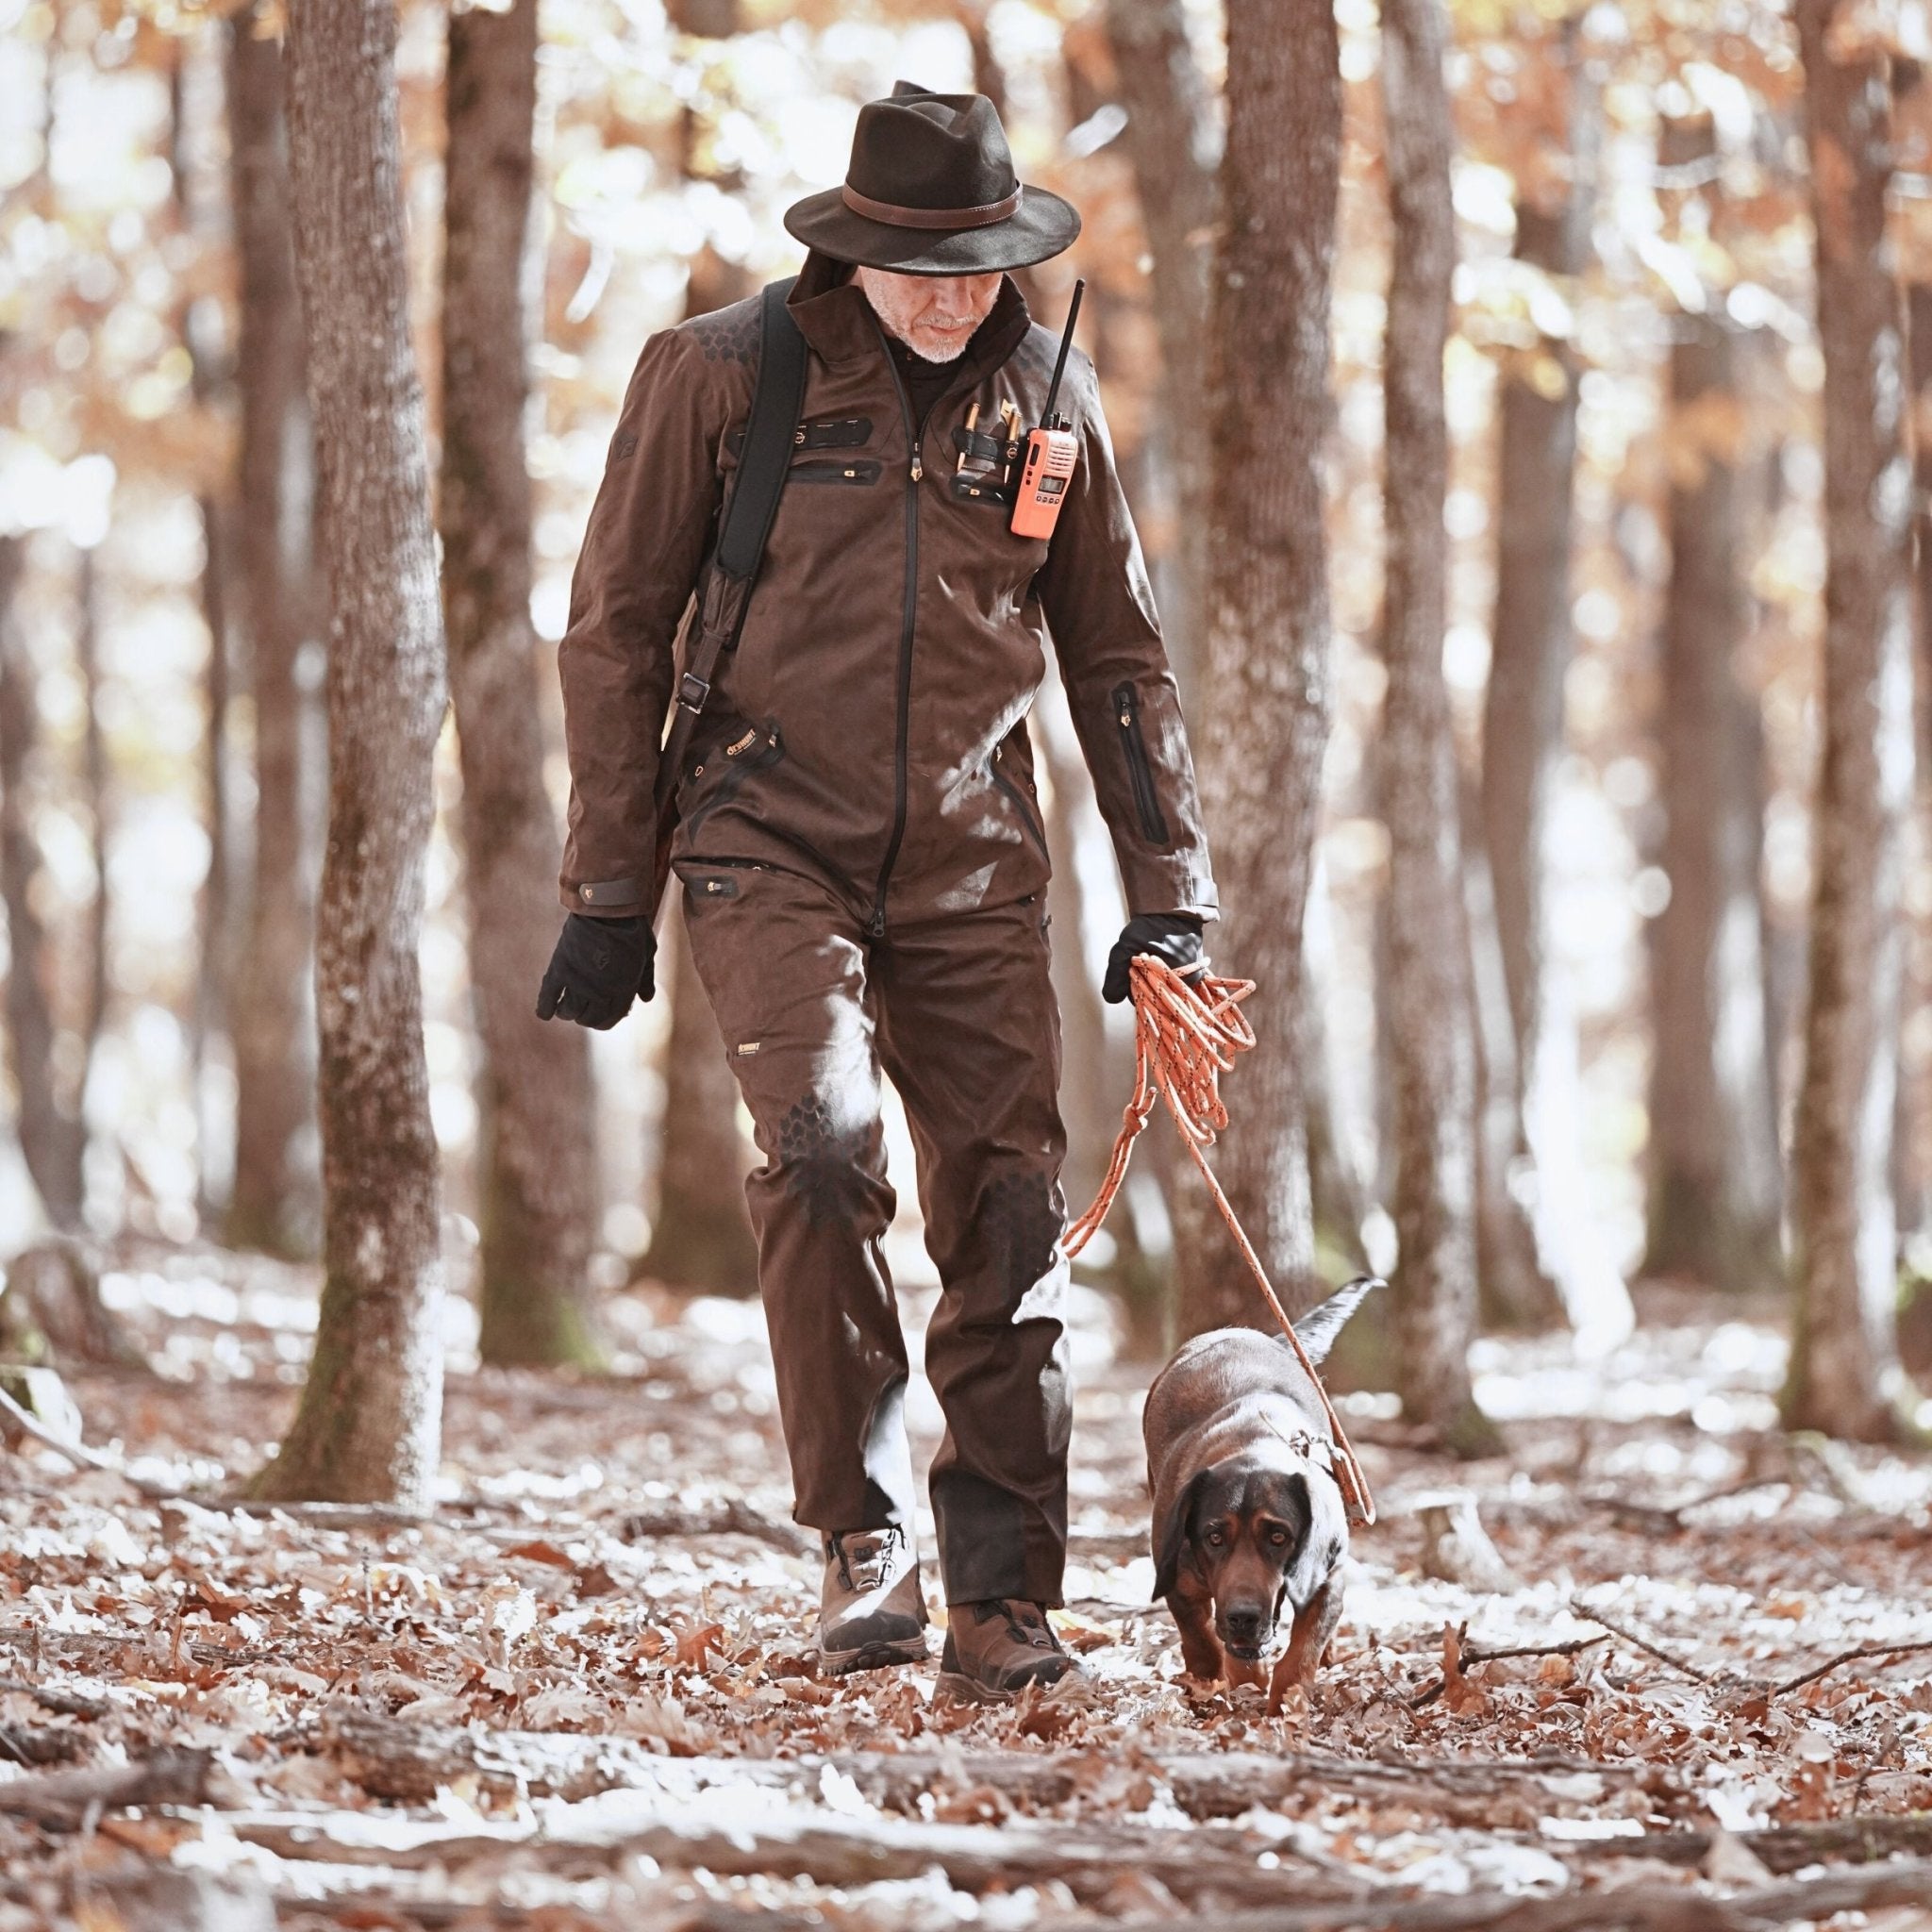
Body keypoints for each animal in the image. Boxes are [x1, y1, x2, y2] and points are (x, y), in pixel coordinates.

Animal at [1143, 1282, 1375, 1707]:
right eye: (1214, 1537)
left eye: (1279, 1536)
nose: (1243, 1617)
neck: (1252, 1445)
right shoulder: (1180, 1583)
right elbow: (1203, 1644)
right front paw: (1224, 1685)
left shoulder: (1325, 1580)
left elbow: (1300, 1656)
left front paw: (1284, 1703)